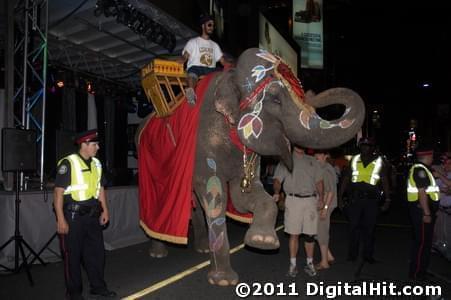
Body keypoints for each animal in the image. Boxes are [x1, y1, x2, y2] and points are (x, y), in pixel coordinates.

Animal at [137, 48, 364, 286]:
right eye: (275, 99)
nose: (311, 95)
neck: (231, 76)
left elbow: (243, 195)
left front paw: (261, 240)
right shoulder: (204, 143)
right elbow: (214, 193)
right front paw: (224, 281)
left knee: (194, 203)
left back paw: (201, 248)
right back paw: (158, 252)